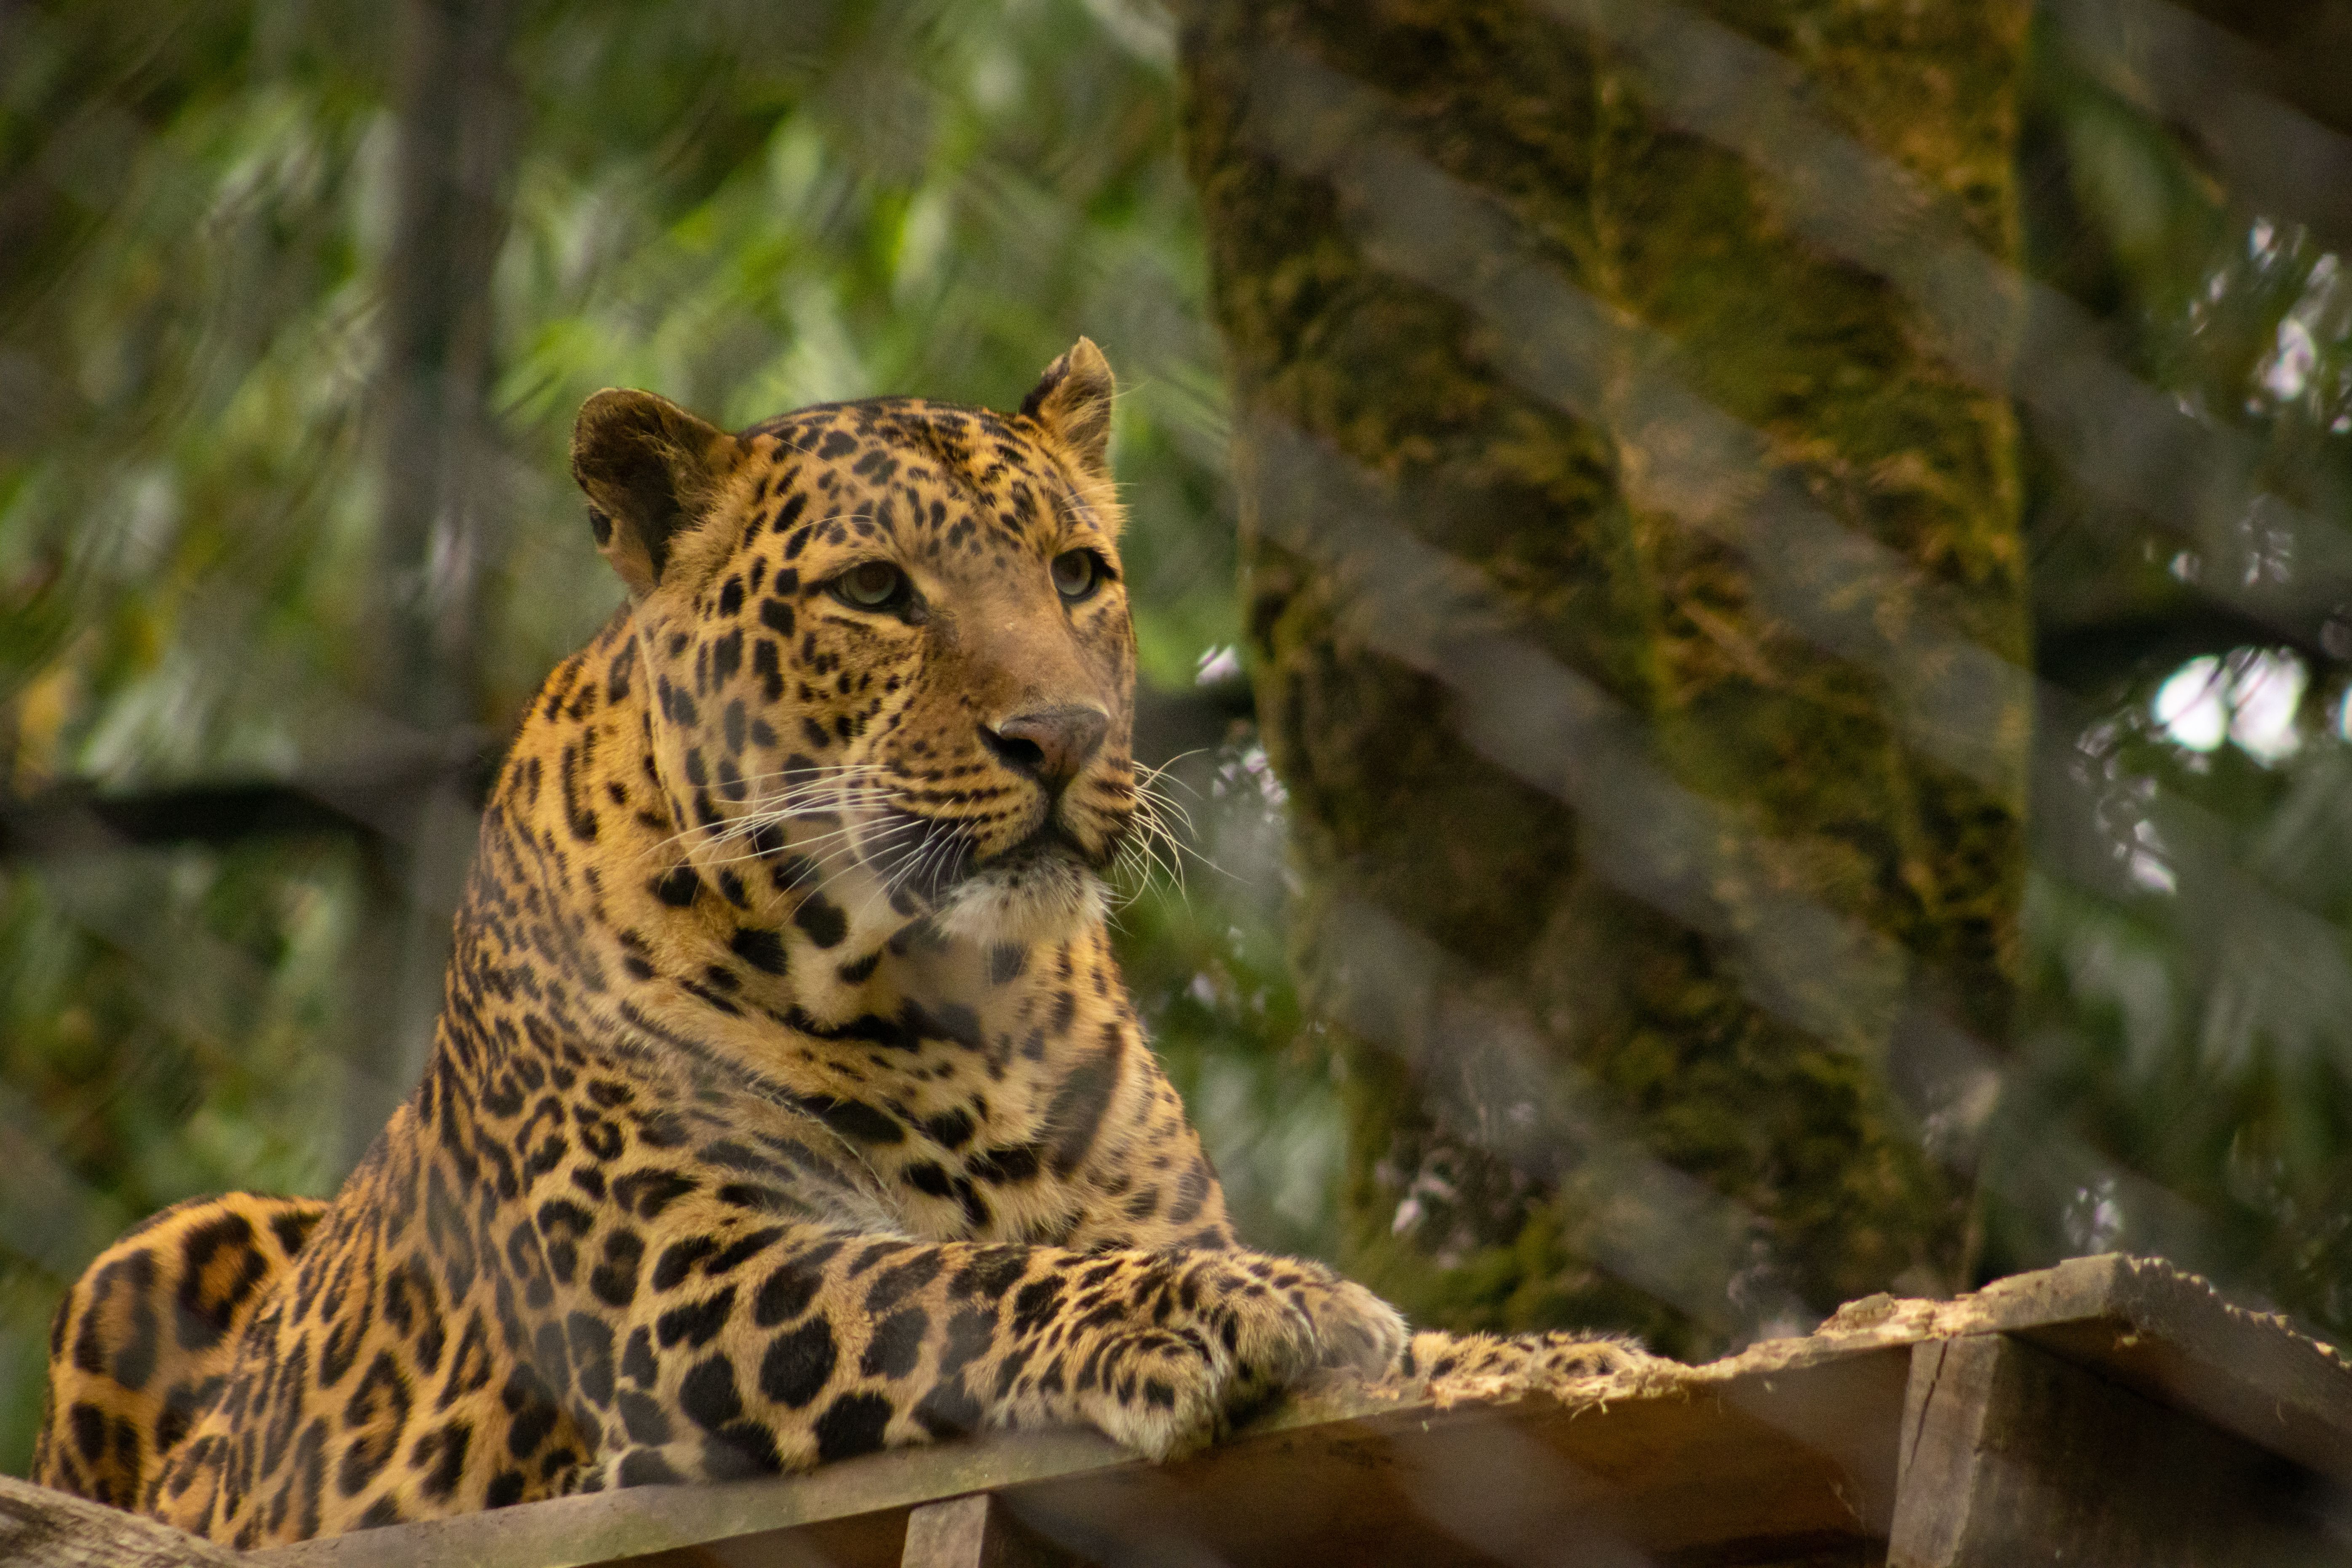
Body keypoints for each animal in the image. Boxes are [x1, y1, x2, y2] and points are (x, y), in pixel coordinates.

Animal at [32, 340, 1654, 1545]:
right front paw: (1251, 1304)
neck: (960, 995)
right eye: (877, 591)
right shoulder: (696, 1287)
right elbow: (948, 1282)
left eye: (1078, 573)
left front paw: (1549, 1360)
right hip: (144, 1259)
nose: (1063, 736)